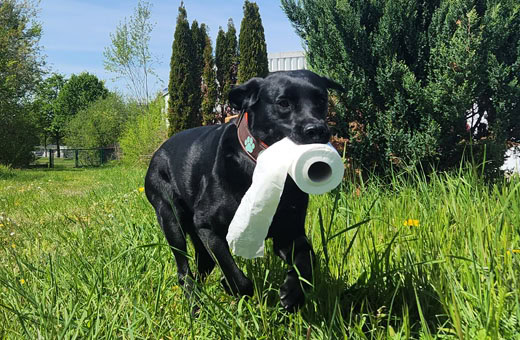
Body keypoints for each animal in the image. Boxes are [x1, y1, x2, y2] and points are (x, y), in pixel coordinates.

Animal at [144, 70, 344, 312]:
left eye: (321, 100)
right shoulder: (209, 227)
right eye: (283, 103)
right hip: (170, 217)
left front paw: (293, 294)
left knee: (203, 264)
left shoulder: (288, 232)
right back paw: (195, 307)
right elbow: (237, 277)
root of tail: (159, 149)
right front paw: (231, 286)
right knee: (184, 272)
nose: (317, 130)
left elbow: (308, 260)